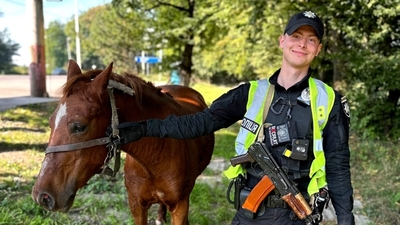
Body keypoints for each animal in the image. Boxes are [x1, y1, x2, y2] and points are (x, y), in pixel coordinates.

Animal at [32, 59, 214, 224]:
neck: (154, 159)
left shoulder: (180, 206)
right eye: (50, 123)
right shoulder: (136, 205)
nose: (42, 196)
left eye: (79, 127)